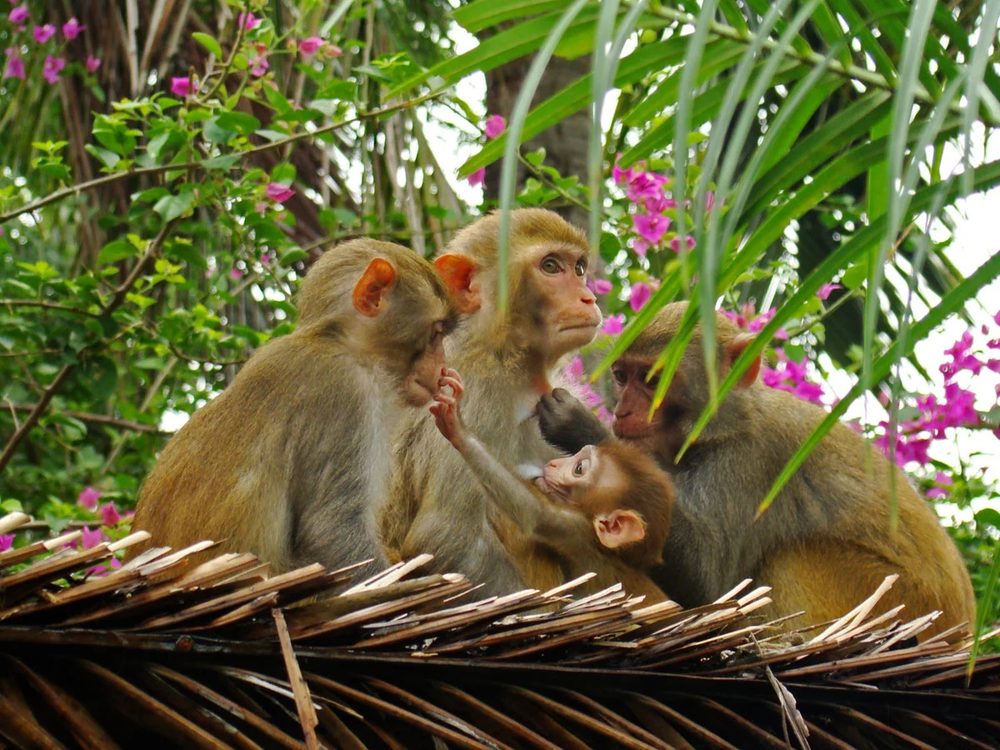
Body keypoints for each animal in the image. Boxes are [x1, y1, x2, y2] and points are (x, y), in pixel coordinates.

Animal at [380, 209, 600, 596]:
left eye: (579, 268)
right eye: (551, 266)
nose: (589, 298)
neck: (505, 356)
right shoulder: (476, 394)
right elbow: (445, 534)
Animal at [428, 368, 672, 604]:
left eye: (579, 468)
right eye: (578, 454)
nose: (554, 464)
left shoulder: (575, 530)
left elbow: (534, 514)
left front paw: (458, 428)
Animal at [540, 302, 976, 640]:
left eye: (652, 381)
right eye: (622, 376)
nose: (623, 411)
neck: (720, 425)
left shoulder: (751, 461)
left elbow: (708, 575)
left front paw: (579, 427)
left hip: (903, 602)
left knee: (793, 556)